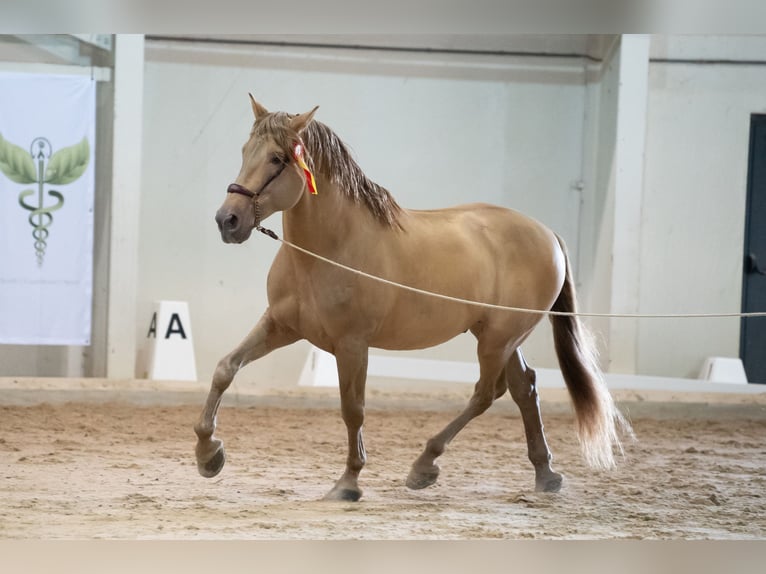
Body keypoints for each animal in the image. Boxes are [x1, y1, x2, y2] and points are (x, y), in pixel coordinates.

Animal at [193, 95, 631, 501]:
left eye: (277, 159)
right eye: (245, 151)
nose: (227, 220)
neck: (330, 248)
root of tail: (547, 233)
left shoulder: (352, 345)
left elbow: (353, 409)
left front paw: (348, 483)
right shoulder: (281, 326)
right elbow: (225, 368)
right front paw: (208, 454)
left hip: (498, 339)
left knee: (486, 393)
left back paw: (425, 465)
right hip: (498, 336)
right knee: (525, 388)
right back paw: (545, 475)